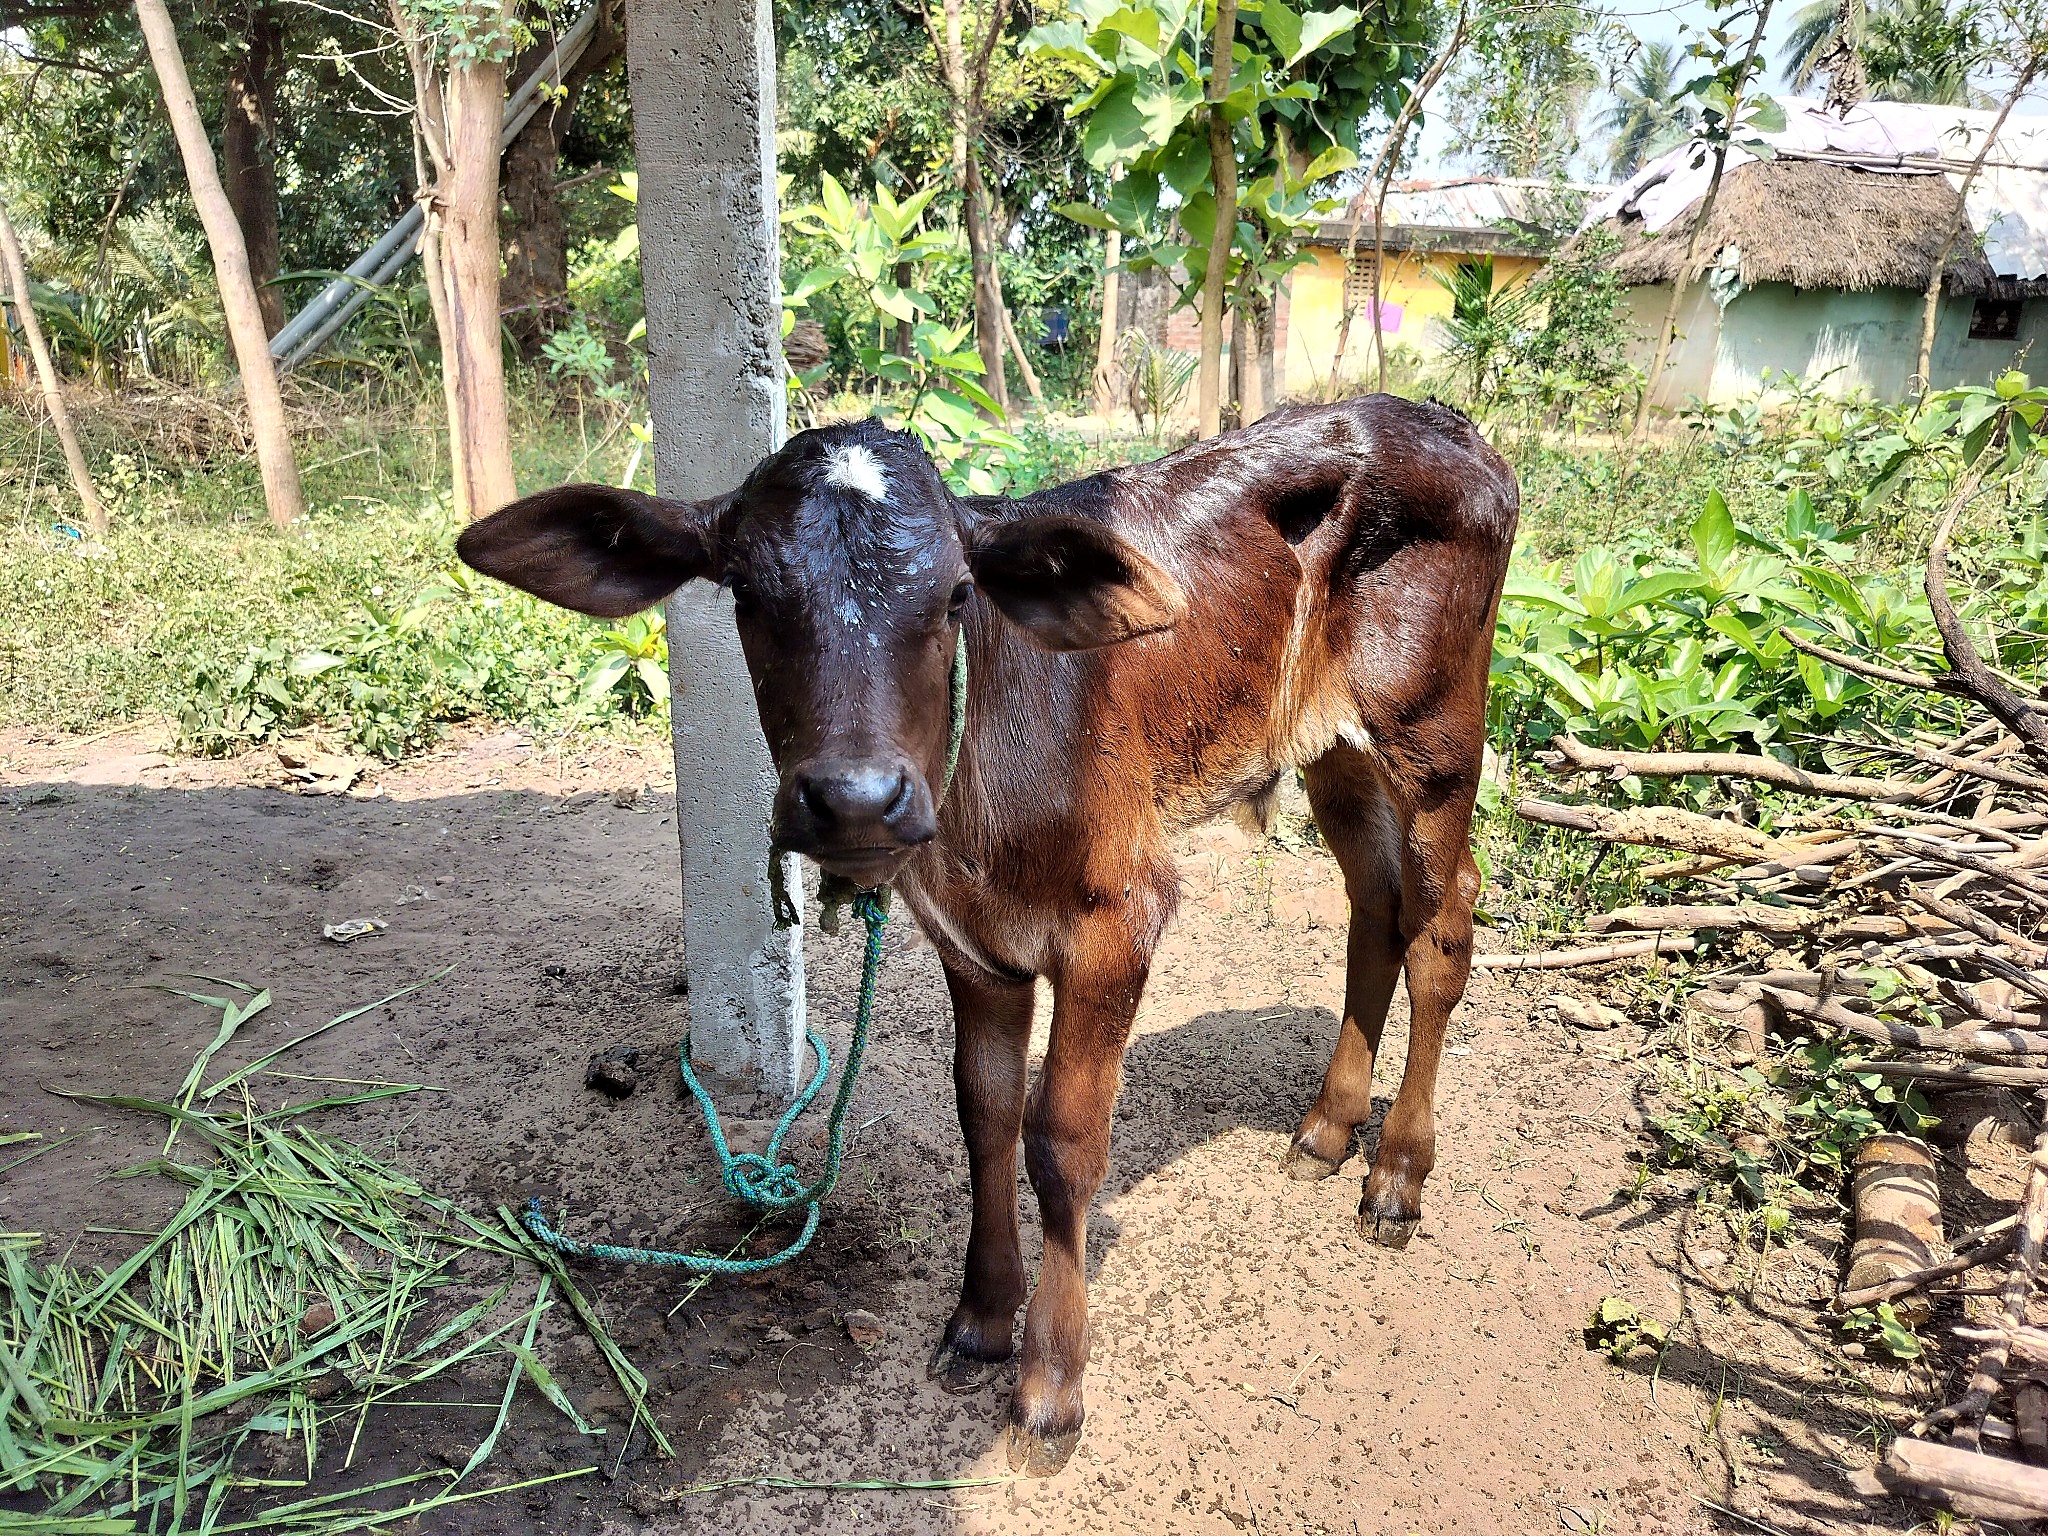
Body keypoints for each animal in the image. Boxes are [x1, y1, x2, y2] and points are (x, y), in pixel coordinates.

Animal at [456, 395, 1519, 1475]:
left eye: (958, 593)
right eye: (746, 593)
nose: (857, 799)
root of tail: (1447, 424)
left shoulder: (1121, 915)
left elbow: (1063, 1139)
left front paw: (1050, 1386)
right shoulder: (972, 944)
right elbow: (985, 1112)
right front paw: (979, 1319)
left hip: (1436, 735)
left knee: (1443, 922)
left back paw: (1395, 1176)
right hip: (1330, 745)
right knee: (1373, 904)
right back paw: (1327, 1129)